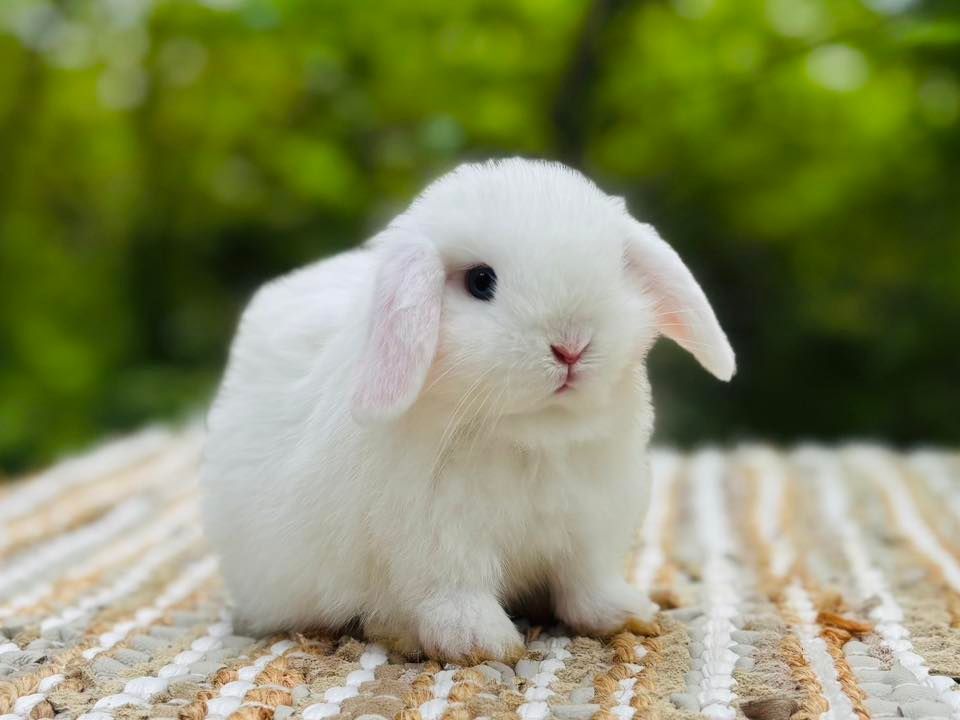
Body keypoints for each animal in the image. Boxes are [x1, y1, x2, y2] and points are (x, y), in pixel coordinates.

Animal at [200, 157, 735, 663]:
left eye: (619, 267)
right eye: (481, 281)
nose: (571, 346)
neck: (533, 435)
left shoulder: (593, 524)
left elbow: (588, 582)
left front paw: (627, 615)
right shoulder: (439, 539)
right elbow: (457, 593)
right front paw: (483, 644)